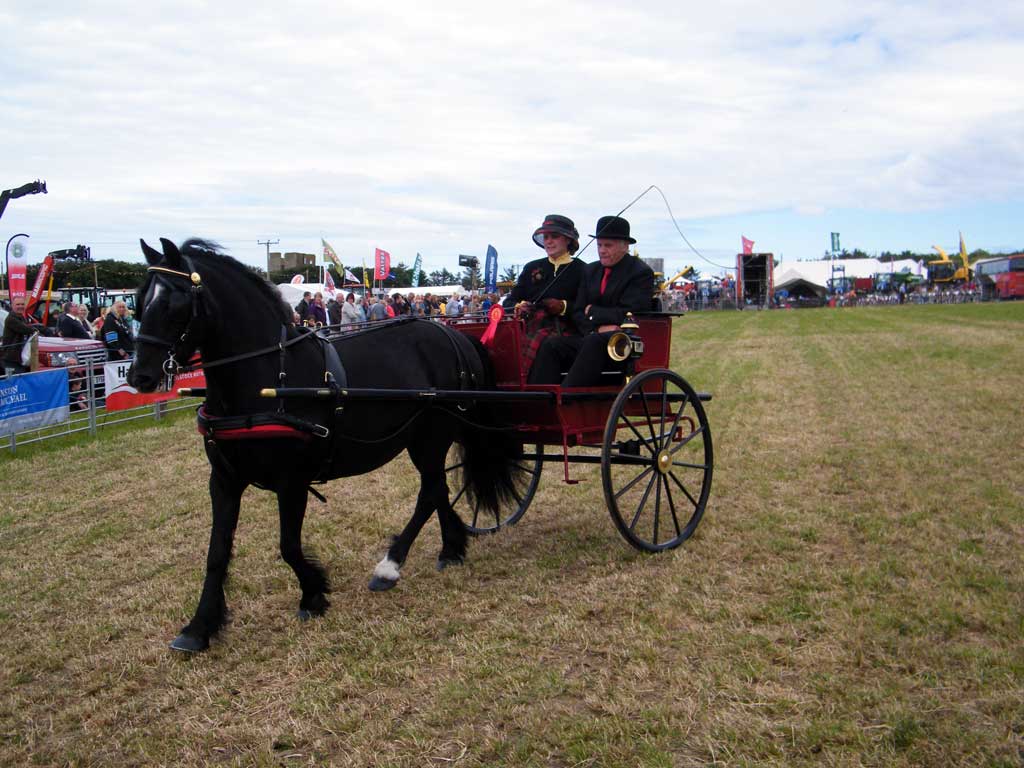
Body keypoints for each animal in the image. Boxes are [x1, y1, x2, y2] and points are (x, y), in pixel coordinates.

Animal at [130, 237, 520, 651]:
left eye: (174, 303)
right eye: (139, 299)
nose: (140, 375)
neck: (270, 377)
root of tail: (454, 337)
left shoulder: (292, 481)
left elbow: (288, 545)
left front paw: (313, 593)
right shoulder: (223, 480)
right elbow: (216, 552)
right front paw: (200, 626)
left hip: (430, 437)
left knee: (430, 491)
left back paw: (391, 566)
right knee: (438, 490)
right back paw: (451, 547)